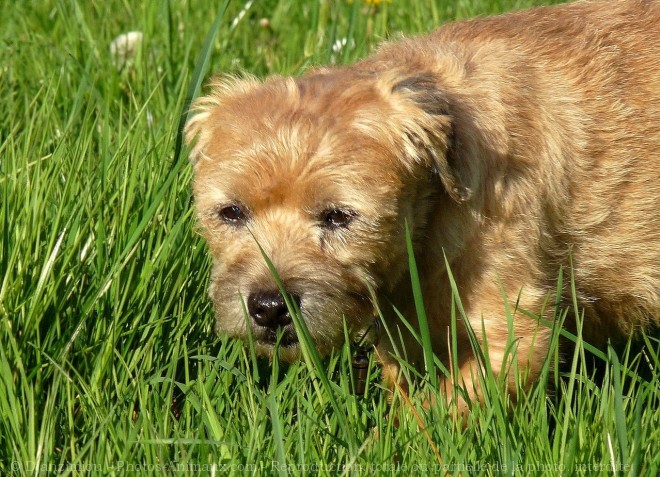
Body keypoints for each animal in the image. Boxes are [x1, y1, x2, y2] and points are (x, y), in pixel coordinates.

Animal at [184, 0, 660, 410]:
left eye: (339, 216)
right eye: (231, 212)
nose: (268, 307)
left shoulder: (512, 331)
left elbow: (446, 413)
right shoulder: (406, 330)